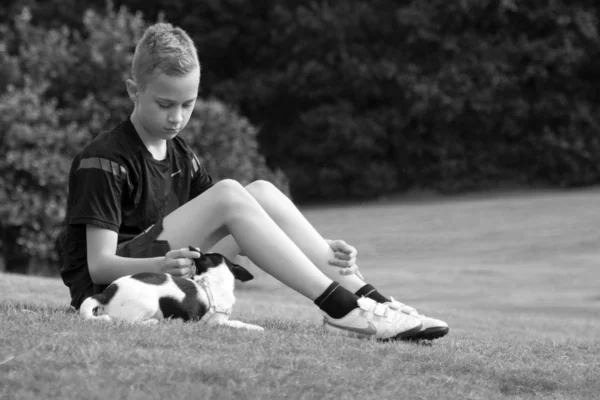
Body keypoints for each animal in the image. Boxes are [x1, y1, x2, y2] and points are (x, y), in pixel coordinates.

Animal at [80, 247, 264, 332]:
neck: (212, 281)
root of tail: (106, 293)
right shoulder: (216, 322)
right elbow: (237, 323)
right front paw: (255, 328)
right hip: (148, 304)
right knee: (126, 322)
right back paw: (153, 322)